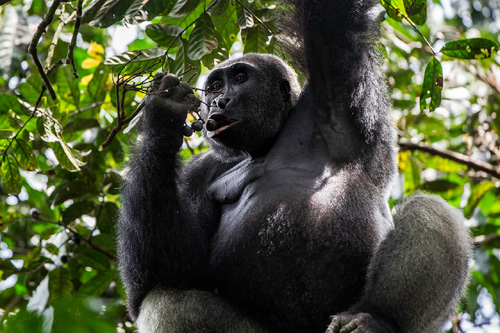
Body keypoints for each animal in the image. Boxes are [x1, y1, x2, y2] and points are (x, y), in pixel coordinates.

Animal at [118, 1, 472, 330]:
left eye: (240, 78)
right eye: (216, 86)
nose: (218, 102)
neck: (265, 143)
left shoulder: (333, 91)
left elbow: (331, 19)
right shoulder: (201, 172)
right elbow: (170, 271)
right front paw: (164, 113)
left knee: (429, 211)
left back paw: (378, 320)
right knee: (167, 302)